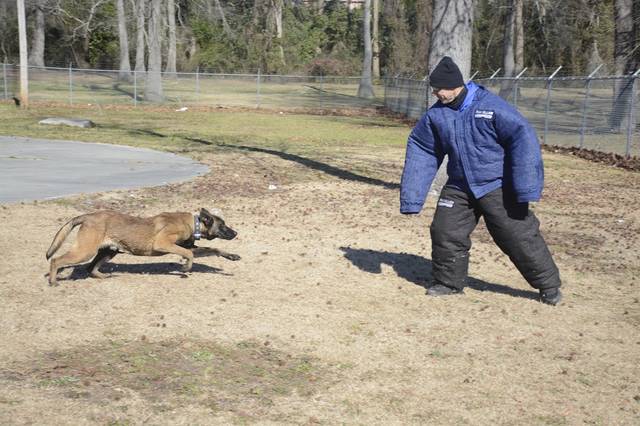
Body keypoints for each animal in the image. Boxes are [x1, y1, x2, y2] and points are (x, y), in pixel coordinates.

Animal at [46, 207, 239, 284]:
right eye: (223, 226)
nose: (236, 233)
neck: (193, 224)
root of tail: (88, 216)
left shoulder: (190, 247)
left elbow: (213, 249)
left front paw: (232, 256)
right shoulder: (163, 243)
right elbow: (189, 255)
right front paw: (185, 268)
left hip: (109, 251)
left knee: (90, 268)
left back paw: (104, 276)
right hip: (85, 251)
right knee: (56, 260)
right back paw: (53, 281)